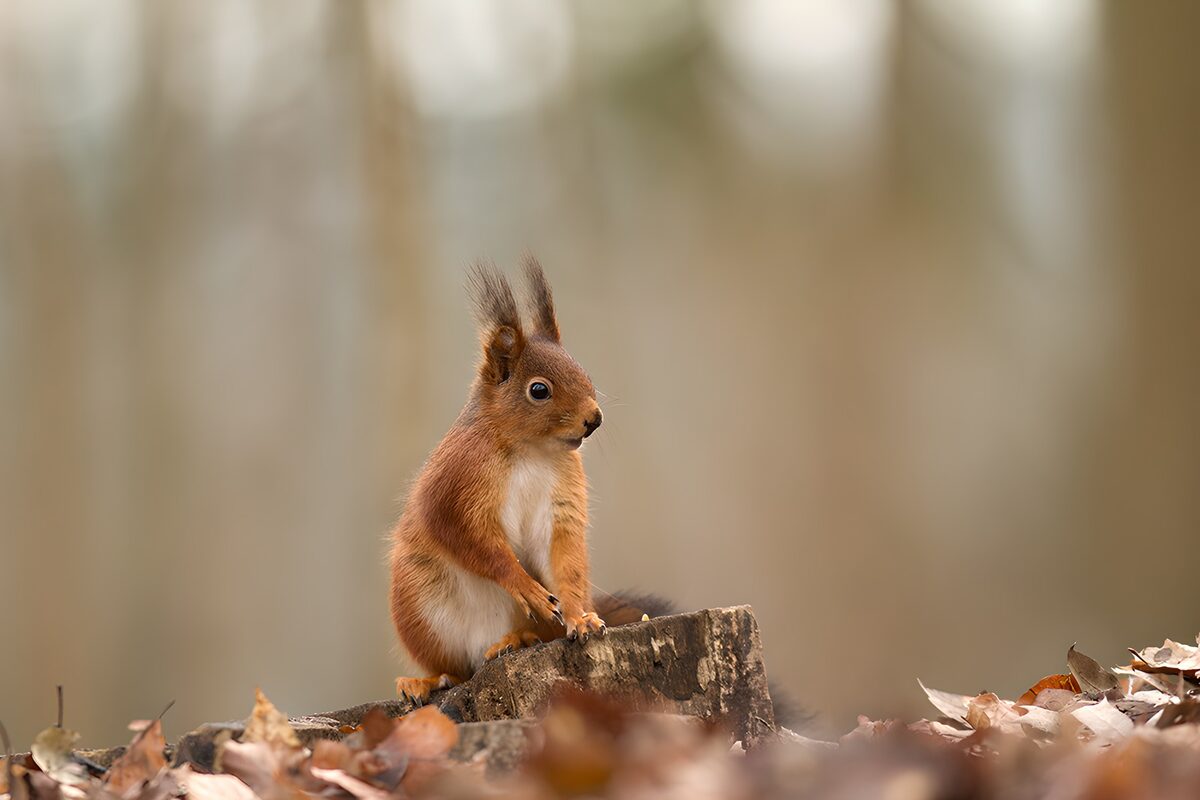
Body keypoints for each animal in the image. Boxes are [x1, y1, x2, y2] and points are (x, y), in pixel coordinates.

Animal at [389, 258, 619, 702]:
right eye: (539, 390)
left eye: (583, 371)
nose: (594, 419)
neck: (531, 450)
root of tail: (481, 649)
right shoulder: (454, 486)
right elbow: (475, 544)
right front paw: (526, 587)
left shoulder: (562, 502)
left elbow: (564, 558)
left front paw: (579, 616)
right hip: (419, 606)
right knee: (452, 669)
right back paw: (425, 680)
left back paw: (516, 639)